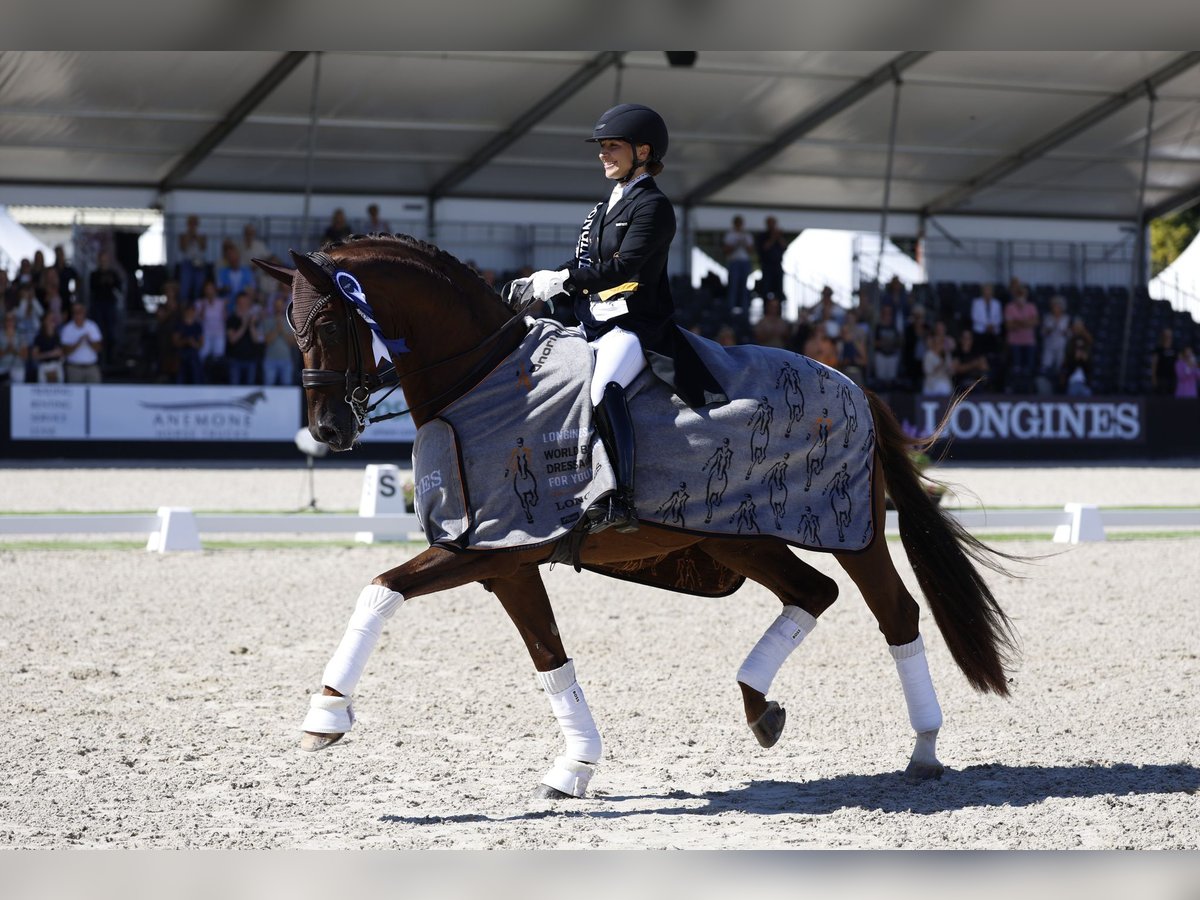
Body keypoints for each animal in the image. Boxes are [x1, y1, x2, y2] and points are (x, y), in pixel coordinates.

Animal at [253, 234, 1018, 800]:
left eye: (328, 321)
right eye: (290, 326)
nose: (327, 430)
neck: (483, 380)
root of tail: (852, 383)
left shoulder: (493, 548)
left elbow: (381, 591)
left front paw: (325, 715)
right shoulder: (505, 559)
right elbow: (548, 656)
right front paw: (576, 766)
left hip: (845, 526)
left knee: (895, 613)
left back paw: (924, 748)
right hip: (737, 535)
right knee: (812, 592)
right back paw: (759, 706)